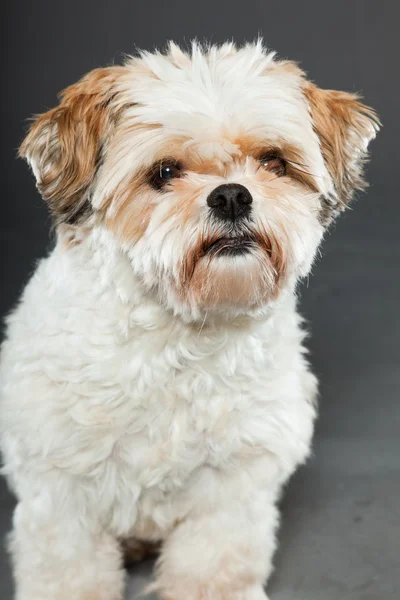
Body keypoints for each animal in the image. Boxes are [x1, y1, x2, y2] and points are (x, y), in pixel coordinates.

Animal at [0, 42, 378, 600]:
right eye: (163, 173)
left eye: (273, 162)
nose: (232, 195)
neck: (180, 333)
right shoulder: (62, 488)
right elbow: (69, 569)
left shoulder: (232, 482)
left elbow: (212, 561)